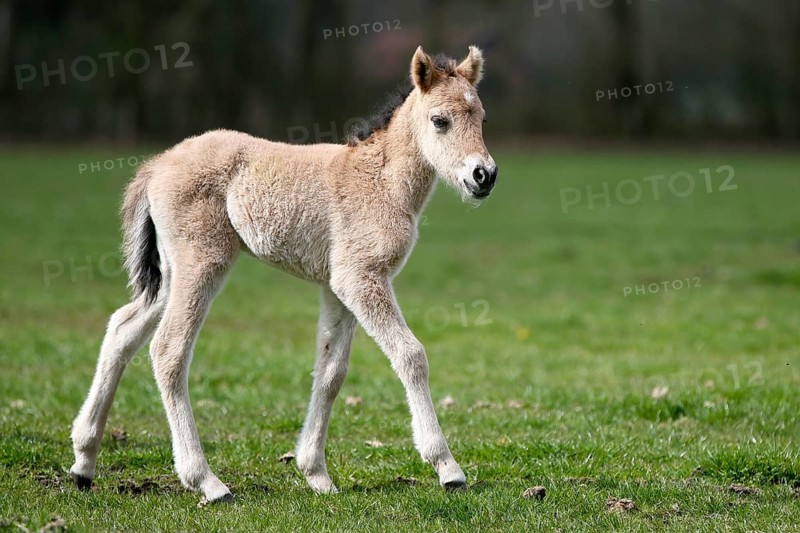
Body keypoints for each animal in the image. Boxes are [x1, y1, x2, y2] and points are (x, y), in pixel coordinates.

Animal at [70, 45, 498, 504]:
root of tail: (155, 164)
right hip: (202, 262)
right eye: (440, 120)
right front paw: (447, 467)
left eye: (481, 118)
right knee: (168, 350)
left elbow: (330, 372)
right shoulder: (360, 277)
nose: (484, 176)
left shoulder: (337, 286)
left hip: (169, 275)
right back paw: (207, 481)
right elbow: (410, 354)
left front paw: (316, 473)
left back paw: (83, 462)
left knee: (121, 329)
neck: (380, 180)